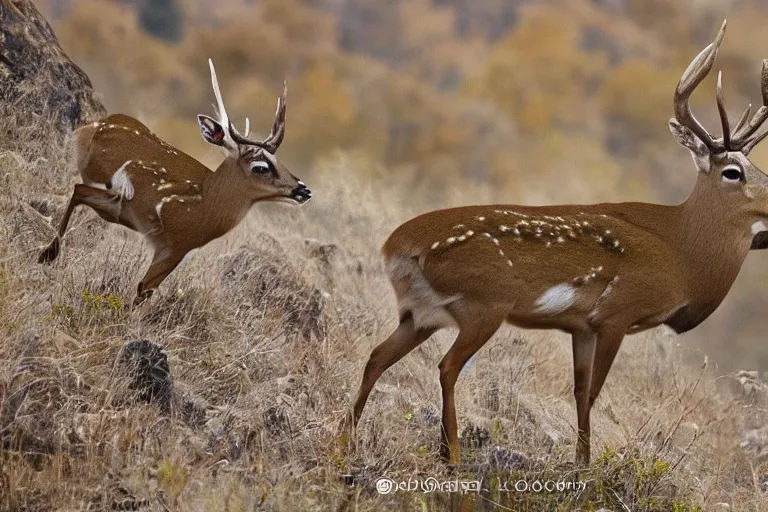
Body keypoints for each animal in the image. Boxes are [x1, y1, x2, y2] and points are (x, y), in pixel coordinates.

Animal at [37, 58, 310, 306]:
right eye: (261, 167)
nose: (303, 190)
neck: (207, 205)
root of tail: (92, 128)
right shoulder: (173, 242)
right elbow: (143, 289)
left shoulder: (180, 248)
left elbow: (146, 290)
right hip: (114, 193)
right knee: (79, 189)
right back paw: (47, 254)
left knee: (78, 191)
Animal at [352, 21, 768, 468]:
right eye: (732, 171)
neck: (682, 256)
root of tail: (395, 246)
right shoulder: (617, 313)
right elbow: (595, 392)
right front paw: (588, 465)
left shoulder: (580, 325)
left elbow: (580, 392)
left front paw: (581, 460)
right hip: (484, 302)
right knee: (447, 366)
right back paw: (453, 454)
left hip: (420, 313)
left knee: (377, 356)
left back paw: (348, 437)